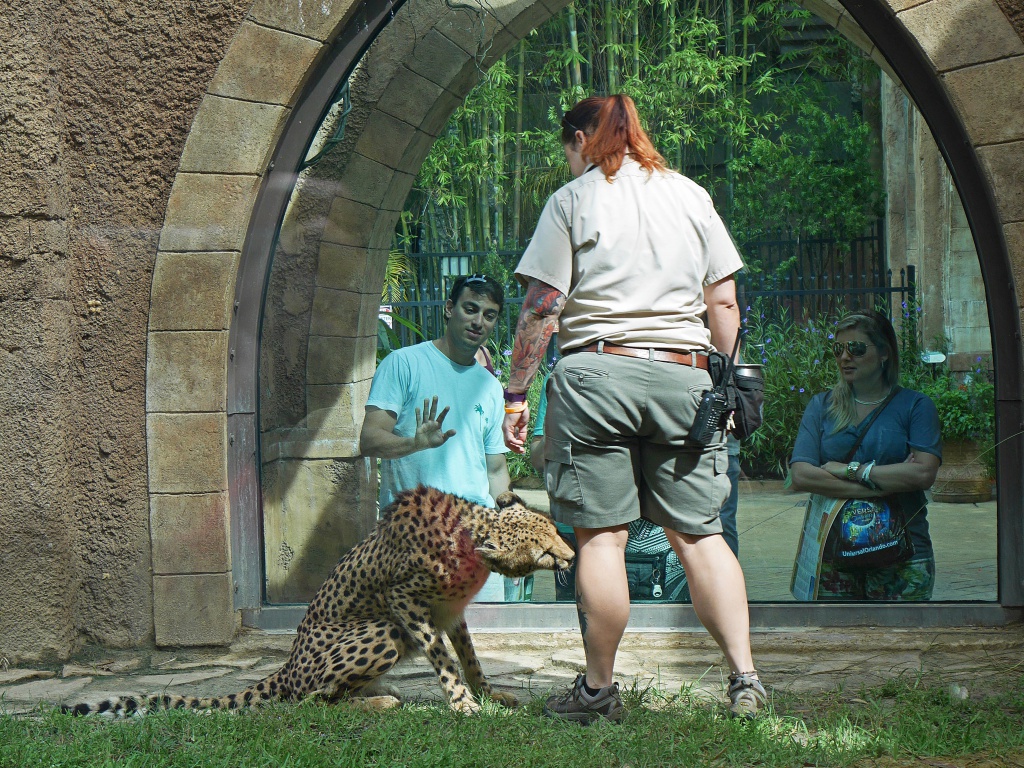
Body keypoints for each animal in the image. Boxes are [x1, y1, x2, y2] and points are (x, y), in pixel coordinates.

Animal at [64, 489, 577, 720]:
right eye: (544, 549)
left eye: (554, 529)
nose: (571, 557)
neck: (469, 542)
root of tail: (287, 665)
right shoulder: (405, 601)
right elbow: (445, 660)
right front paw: (463, 704)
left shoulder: (452, 613)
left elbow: (469, 658)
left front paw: (488, 694)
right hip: (383, 631)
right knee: (311, 700)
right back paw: (381, 701)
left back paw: (376, 693)